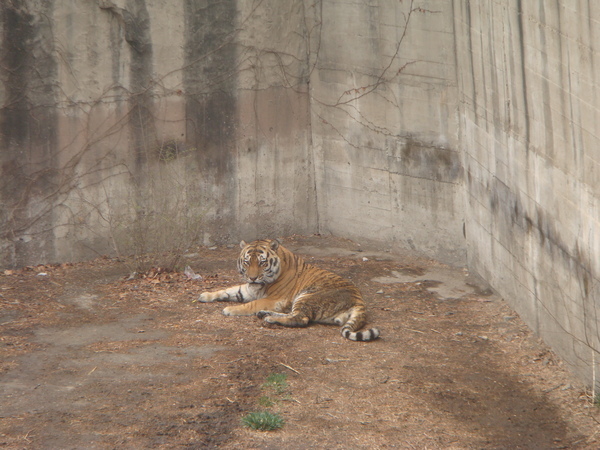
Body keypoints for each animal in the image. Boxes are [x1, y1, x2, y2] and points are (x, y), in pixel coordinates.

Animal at [196, 239, 380, 342]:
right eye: (247, 262)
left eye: (262, 262)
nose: (252, 278)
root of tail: (359, 299)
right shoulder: (248, 289)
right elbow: (228, 290)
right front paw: (205, 294)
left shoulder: (274, 299)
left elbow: (250, 305)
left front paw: (229, 309)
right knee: (294, 314)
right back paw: (265, 314)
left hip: (307, 296)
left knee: (301, 318)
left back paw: (269, 318)